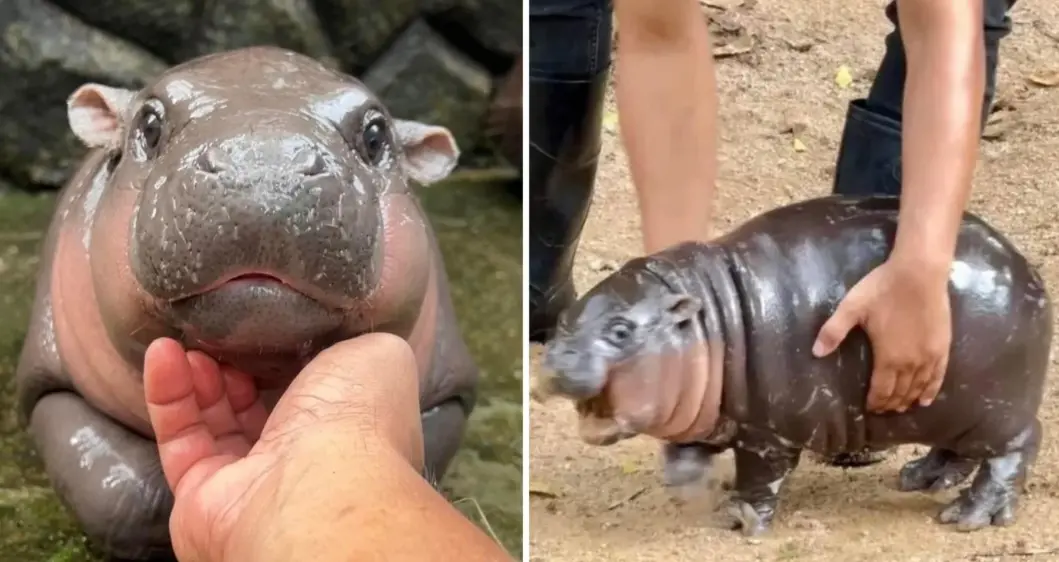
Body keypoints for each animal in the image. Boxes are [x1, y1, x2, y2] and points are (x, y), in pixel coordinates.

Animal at [14, 46, 478, 558]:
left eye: (376, 136)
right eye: (149, 125)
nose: (264, 167)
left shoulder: (449, 393)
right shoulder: (49, 384)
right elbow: (123, 494)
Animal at [542, 196, 1054, 537]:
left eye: (621, 330)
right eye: (564, 319)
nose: (555, 360)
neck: (712, 318)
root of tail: (1027, 270)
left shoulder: (769, 435)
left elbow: (759, 478)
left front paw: (740, 519)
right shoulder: (705, 416)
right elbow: (686, 450)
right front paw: (692, 487)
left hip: (996, 409)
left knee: (1018, 446)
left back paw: (968, 517)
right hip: (951, 409)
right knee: (958, 451)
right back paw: (919, 479)